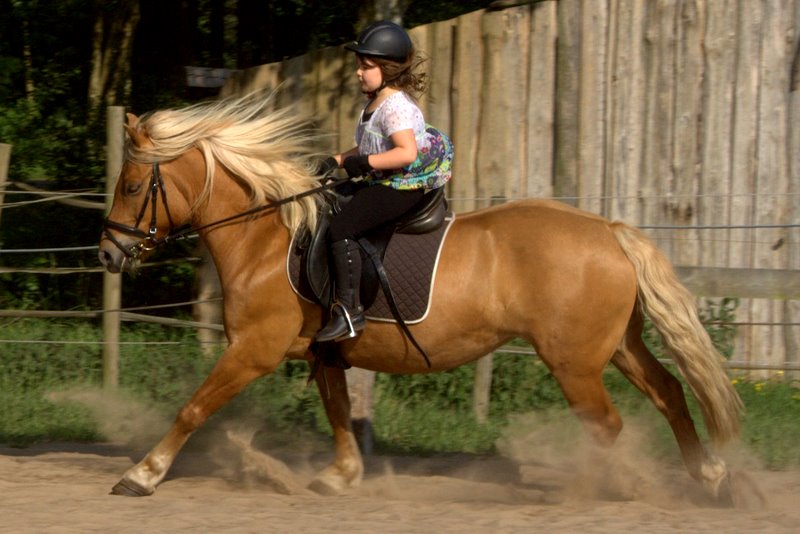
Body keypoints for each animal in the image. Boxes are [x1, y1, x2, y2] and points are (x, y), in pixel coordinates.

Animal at [98, 91, 744, 502]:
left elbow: (192, 408)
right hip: (615, 347)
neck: (265, 239)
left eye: (130, 185)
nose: (108, 253)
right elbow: (339, 414)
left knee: (607, 425)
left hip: (574, 362)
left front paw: (143, 475)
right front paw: (340, 477)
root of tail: (609, 230)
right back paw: (708, 476)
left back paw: (583, 493)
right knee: (669, 393)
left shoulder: (254, 350)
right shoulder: (325, 352)